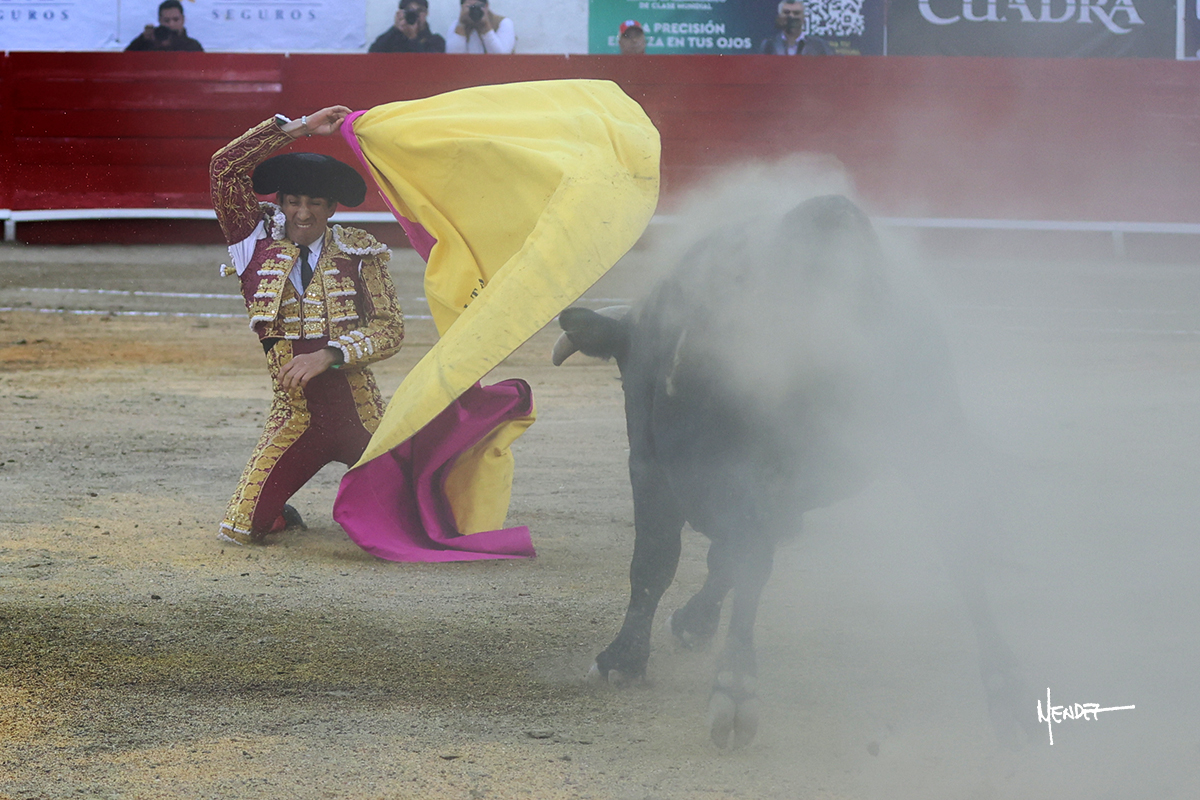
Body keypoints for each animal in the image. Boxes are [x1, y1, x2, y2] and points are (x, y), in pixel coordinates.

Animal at [553, 189, 1035, 750]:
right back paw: (1008, 689)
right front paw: (692, 623)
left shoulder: (653, 464)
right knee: (962, 544)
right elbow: (719, 560)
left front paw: (623, 659)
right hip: (929, 437)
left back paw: (734, 686)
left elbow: (657, 561)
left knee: (747, 555)